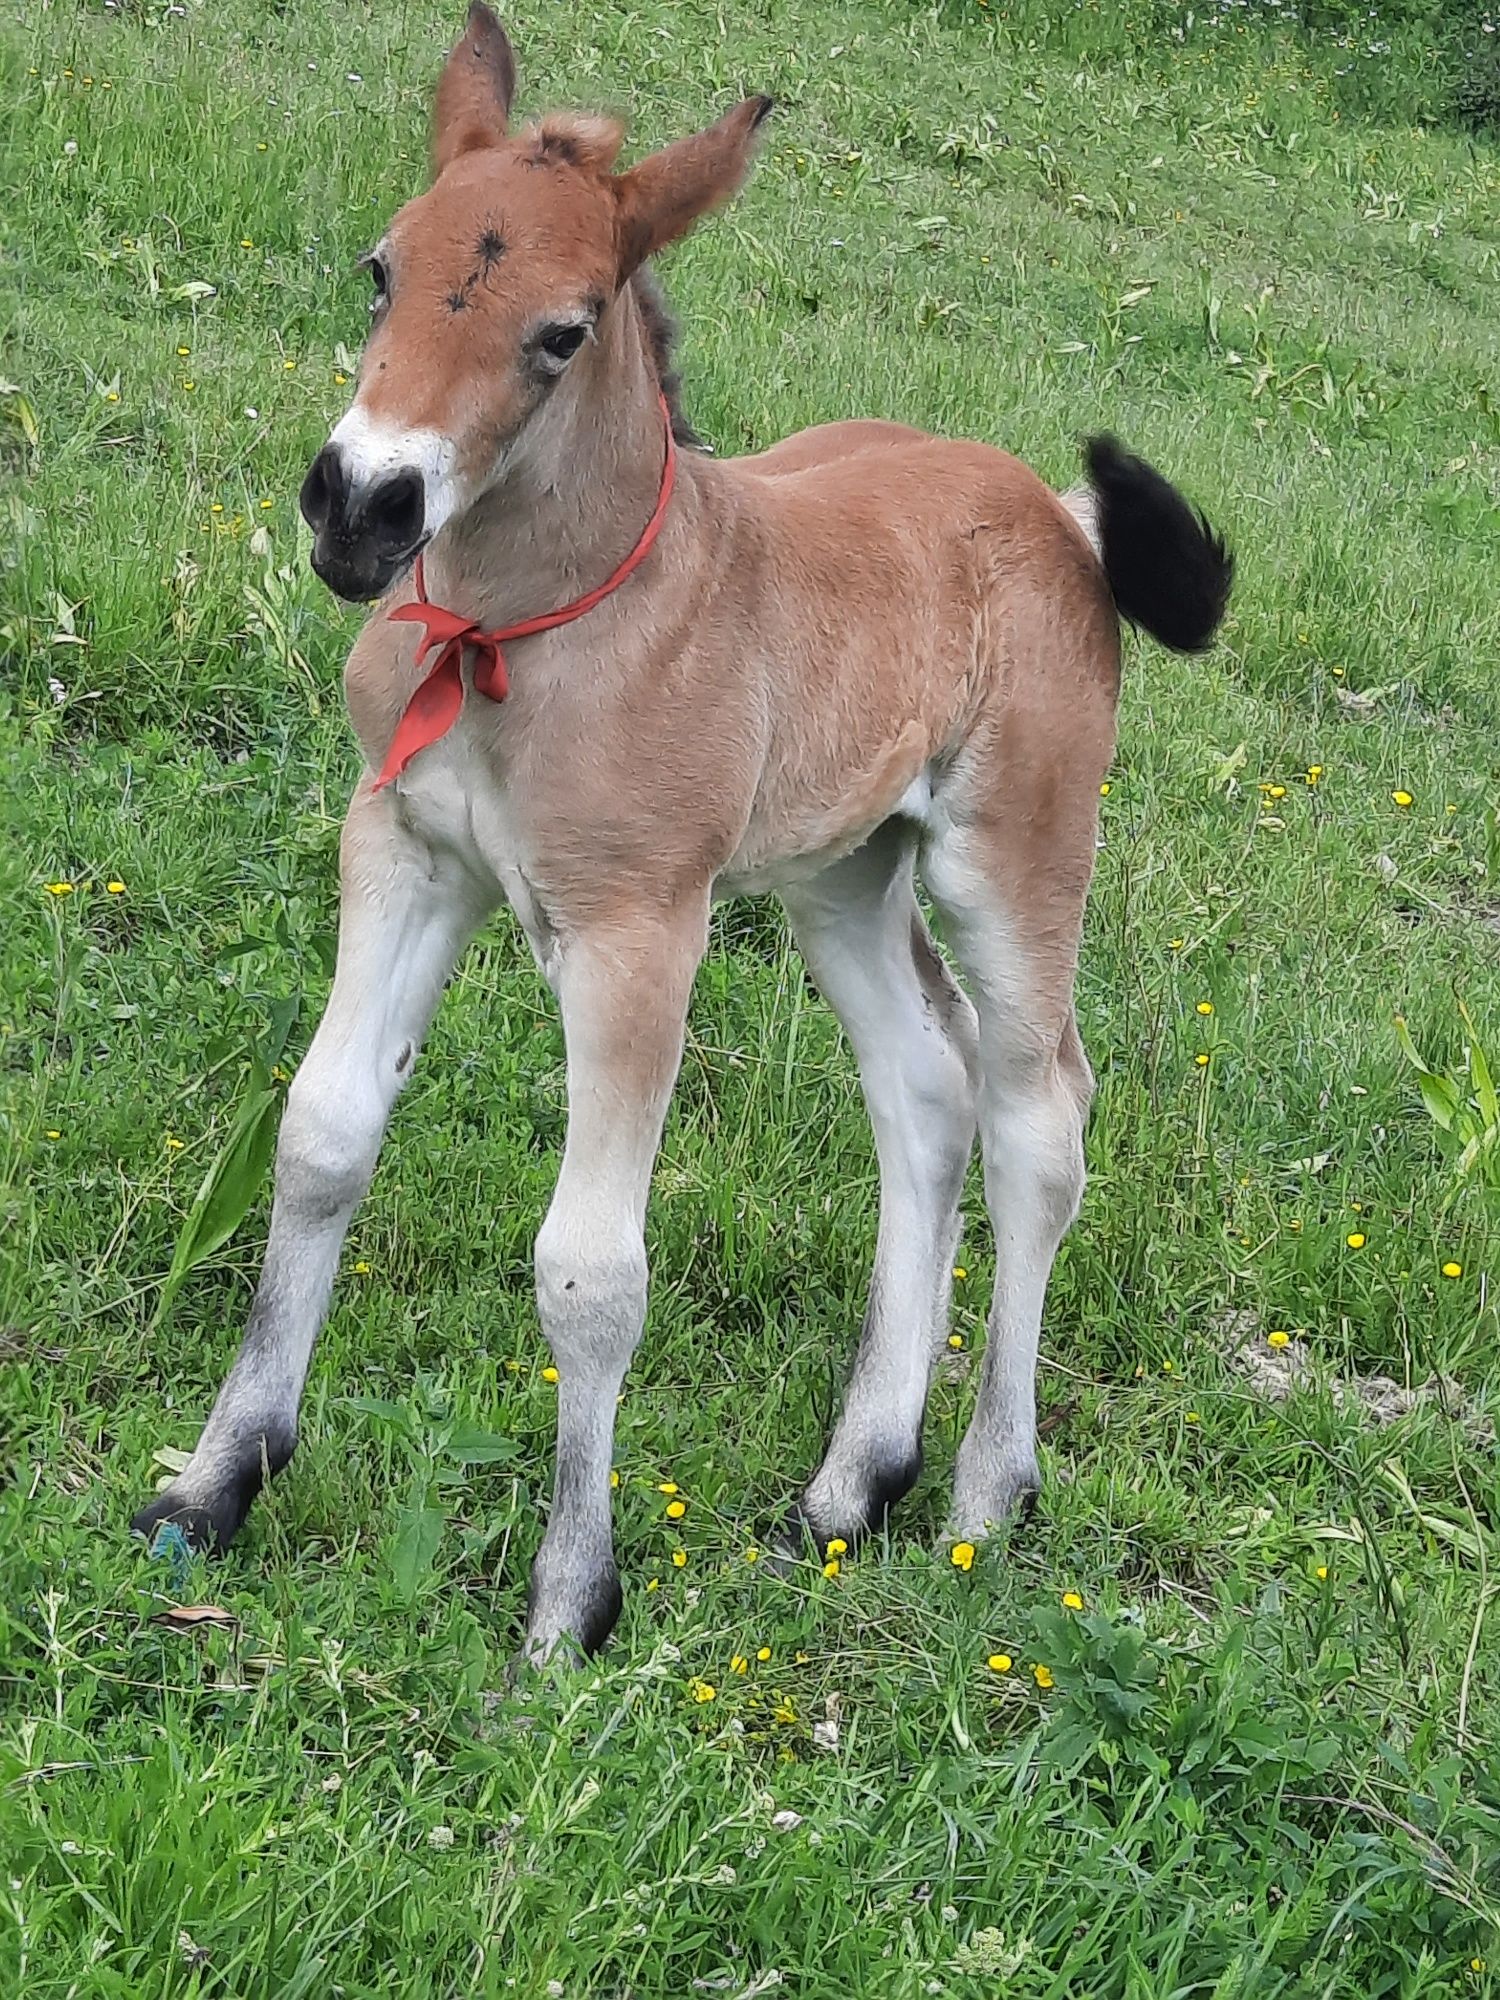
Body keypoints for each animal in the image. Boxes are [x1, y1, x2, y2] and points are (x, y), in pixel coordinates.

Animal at [132, 3, 1232, 1656]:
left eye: (565, 331)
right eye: (384, 266)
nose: (360, 505)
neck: (531, 634)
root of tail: (1055, 509)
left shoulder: (638, 928)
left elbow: (591, 1273)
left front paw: (567, 1606)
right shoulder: (403, 852)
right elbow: (322, 1135)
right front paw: (214, 1485)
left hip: (1019, 851)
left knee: (1041, 1113)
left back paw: (987, 1495)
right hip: (841, 874)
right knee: (926, 1087)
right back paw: (854, 1483)